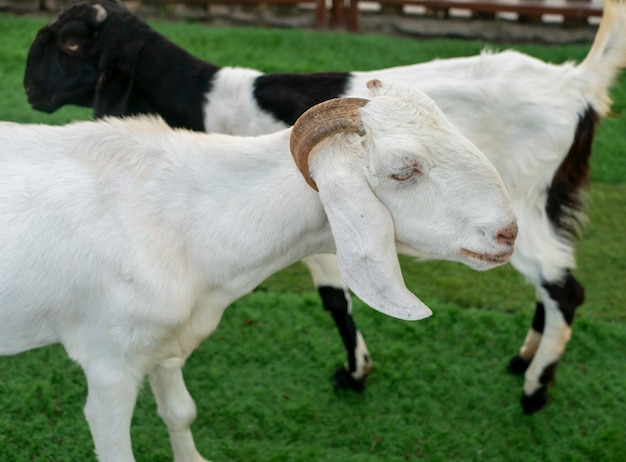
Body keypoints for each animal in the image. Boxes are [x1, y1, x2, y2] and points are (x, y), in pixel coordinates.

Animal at [0, 82, 516, 462]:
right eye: (404, 171)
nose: (508, 232)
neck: (181, 217)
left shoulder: (165, 345)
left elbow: (180, 413)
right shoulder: (108, 365)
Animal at [23, 0, 624, 414]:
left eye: (72, 46)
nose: (29, 91)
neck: (204, 103)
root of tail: (576, 82)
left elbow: (336, 298)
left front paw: (355, 374)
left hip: (522, 198)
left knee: (565, 289)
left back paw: (534, 390)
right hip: (542, 203)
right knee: (552, 283)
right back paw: (525, 358)